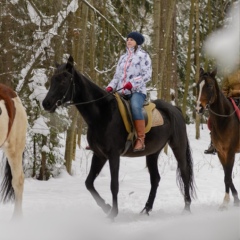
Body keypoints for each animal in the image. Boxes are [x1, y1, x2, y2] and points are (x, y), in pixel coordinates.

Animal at [196, 67, 239, 208]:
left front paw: (227, 202)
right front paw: (234, 200)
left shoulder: (230, 152)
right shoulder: (221, 153)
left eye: (209, 85)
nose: (198, 108)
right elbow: (227, 177)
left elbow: (228, 177)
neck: (224, 120)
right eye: (198, 85)